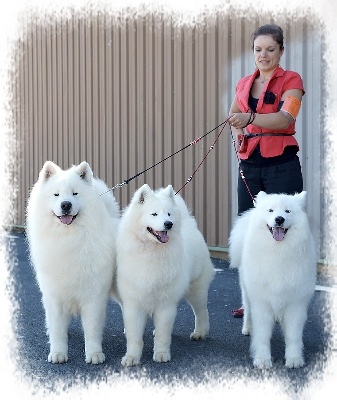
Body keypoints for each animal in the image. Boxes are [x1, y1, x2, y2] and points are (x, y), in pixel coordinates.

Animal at [26, 161, 119, 364]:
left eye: (75, 193)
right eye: (56, 195)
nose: (66, 204)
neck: (69, 239)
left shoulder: (94, 296)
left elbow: (92, 329)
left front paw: (94, 354)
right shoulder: (54, 296)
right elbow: (58, 330)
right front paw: (58, 353)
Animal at [115, 184, 214, 366]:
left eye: (168, 214)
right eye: (154, 214)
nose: (169, 224)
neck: (151, 251)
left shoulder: (165, 304)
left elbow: (163, 334)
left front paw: (161, 354)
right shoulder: (134, 304)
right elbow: (134, 337)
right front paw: (132, 357)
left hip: (196, 290)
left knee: (201, 311)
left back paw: (200, 332)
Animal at [227, 191, 316, 368]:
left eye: (288, 211)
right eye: (270, 210)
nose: (279, 219)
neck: (278, 252)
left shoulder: (295, 304)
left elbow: (293, 335)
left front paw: (294, 359)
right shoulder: (262, 302)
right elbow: (262, 335)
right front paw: (262, 360)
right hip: (246, 292)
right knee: (248, 311)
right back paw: (248, 328)